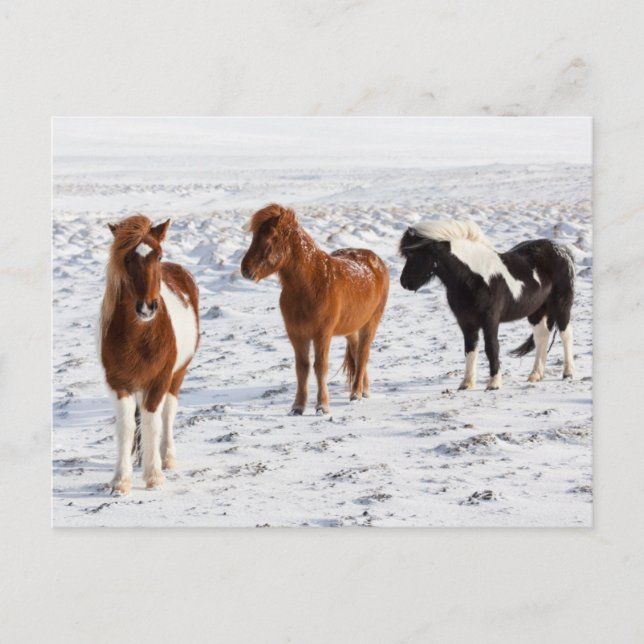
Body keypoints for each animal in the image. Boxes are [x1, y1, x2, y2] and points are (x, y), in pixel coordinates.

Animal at [100, 214, 199, 493]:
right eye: (126, 259)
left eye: (159, 255)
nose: (147, 307)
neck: (138, 335)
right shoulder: (119, 384)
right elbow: (126, 427)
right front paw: (120, 481)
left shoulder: (158, 381)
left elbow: (152, 423)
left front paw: (154, 476)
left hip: (177, 376)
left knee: (167, 413)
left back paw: (167, 458)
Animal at [240, 204, 389, 415]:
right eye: (254, 237)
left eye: (271, 238)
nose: (245, 270)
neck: (310, 285)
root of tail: (376, 260)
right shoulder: (296, 334)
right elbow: (302, 368)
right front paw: (298, 406)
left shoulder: (322, 334)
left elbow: (320, 367)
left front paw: (322, 406)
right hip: (351, 328)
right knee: (357, 353)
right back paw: (363, 390)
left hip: (371, 323)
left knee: (363, 354)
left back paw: (356, 394)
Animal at [399, 220, 575, 390]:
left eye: (413, 253)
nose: (404, 282)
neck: (473, 278)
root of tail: (562, 250)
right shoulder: (466, 322)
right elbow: (470, 348)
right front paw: (466, 384)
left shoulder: (490, 319)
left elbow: (492, 347)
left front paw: (494, 384)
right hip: (536, 311)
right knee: (541, 336)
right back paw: (535, 375)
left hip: (561, 305)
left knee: (565, 334)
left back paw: (568, 373)